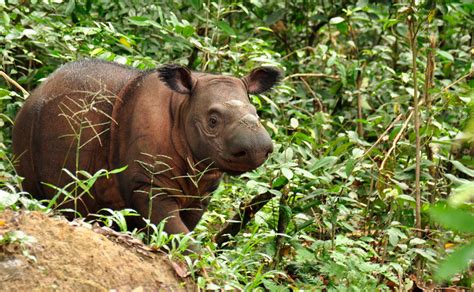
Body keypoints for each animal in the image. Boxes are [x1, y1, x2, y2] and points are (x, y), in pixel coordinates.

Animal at [12, 60, 282, 236]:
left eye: (257, 113)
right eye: (212, 121)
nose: (257, 149)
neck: (183, 107)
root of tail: (36, 91)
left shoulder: (201, 192)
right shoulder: (148, 184)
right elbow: (177, 233)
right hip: (25, 125)